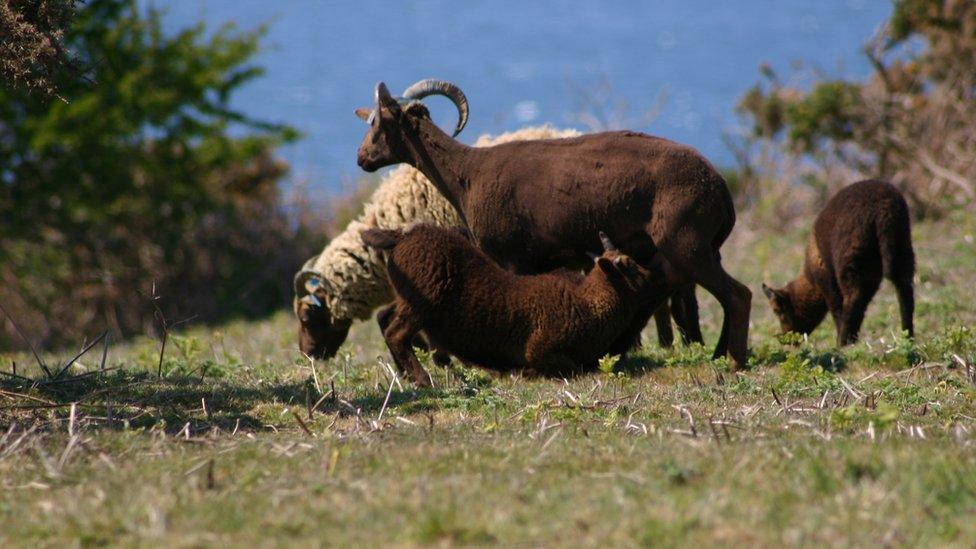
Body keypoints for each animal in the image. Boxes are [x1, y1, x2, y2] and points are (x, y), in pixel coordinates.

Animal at [362, 223, 668, 386]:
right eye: (628, 266)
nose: (658, 276)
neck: (587, 301)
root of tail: (401, 236)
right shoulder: (540, 349)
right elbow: (571, 367)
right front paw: (520, 372)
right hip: (422, 302)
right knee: (396, 333)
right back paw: (423, 379)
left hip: (407, 297)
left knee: (384, 318)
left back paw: (406, 376)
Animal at [764, 179, 916, 342]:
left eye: (777, 310)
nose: (786, 339)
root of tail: (883, 206)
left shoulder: (828, 282)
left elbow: (837, 308)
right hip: (901, 249)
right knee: (904, 290)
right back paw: (908, 336)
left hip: (850, 261)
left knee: (852, 298)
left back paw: (842, 342)